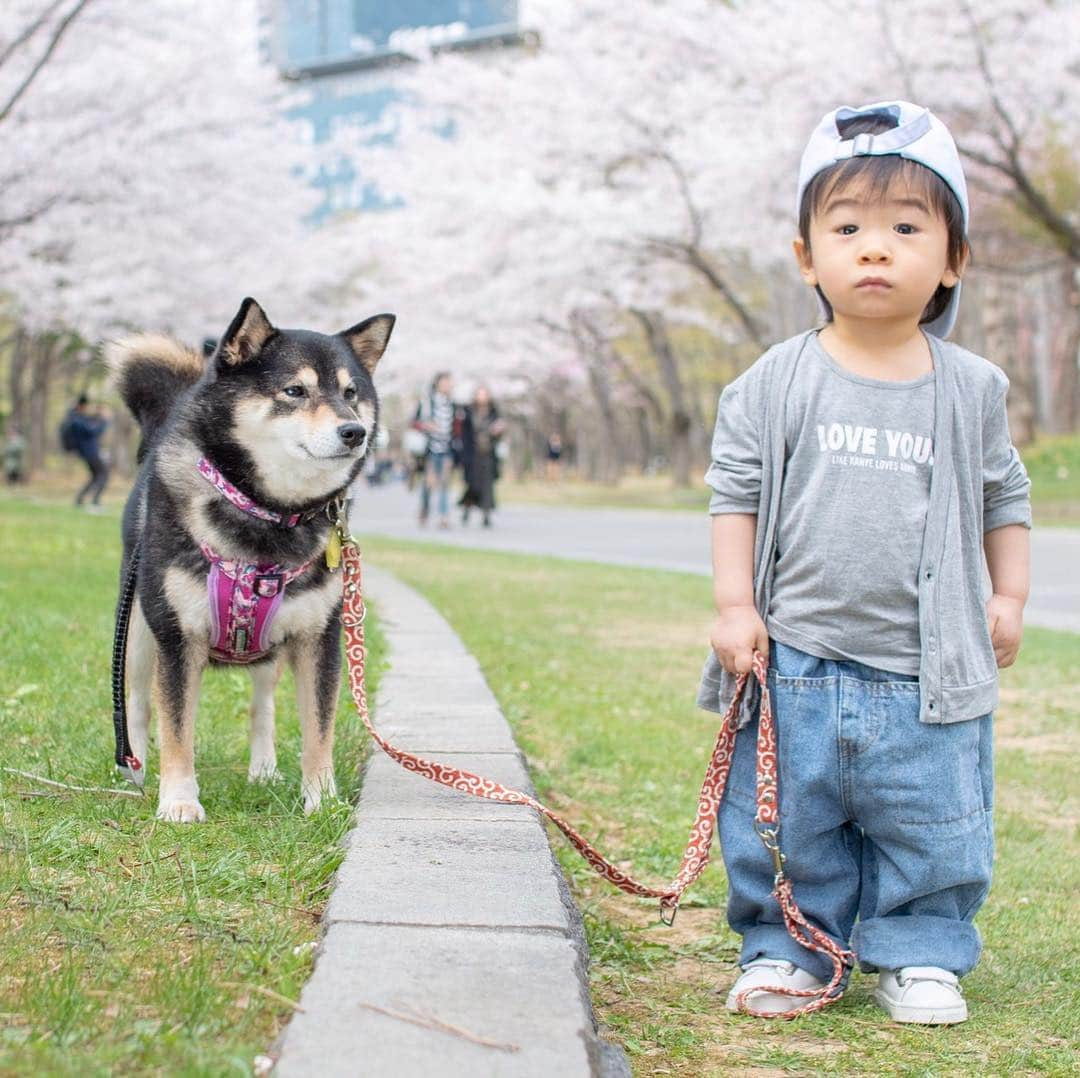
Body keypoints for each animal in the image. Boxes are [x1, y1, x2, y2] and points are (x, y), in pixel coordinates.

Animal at [104, 300, 393, 820]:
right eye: (295, 391)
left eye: (350, 393)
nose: (355, 431)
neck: (268, 512)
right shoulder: (177, 637)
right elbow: (176, 728)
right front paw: (179, 801)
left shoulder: (318, 638)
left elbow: (317, 728)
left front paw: (321, 799)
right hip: (136, 628)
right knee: (134, 702)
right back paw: (131, 773)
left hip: (268, 649)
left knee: (263, 707)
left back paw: (263, 770)